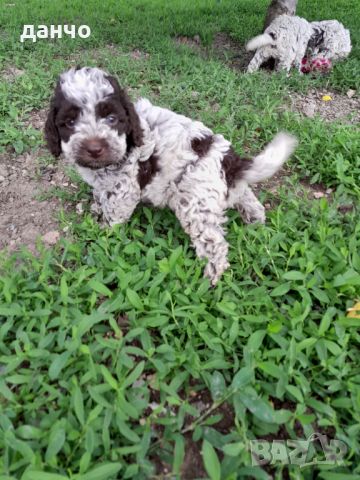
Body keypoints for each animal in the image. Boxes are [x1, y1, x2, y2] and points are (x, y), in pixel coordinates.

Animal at [45, 67, 298, 284]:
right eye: (69, 122)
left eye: (112, 119)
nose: (95, 148)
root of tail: (227, 158)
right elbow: (99, 194)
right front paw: (96, 208)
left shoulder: (124, 187)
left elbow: (114, 215)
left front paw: (103, 233)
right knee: (247, 197)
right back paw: (255, 222)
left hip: (196, 202)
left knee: (215, 245)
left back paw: (210, 279)